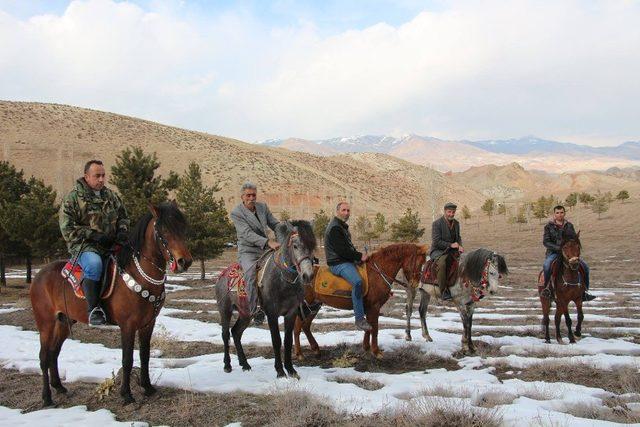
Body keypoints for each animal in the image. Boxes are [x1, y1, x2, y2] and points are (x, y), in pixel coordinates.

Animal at [30, 204, 190, 408]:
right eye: (164, 231)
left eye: (183, 228)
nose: (184, 261)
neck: (139, 274)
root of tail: (39, 276)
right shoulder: (127, 325)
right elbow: (127, 359)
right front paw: (127, 395)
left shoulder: (148, 324)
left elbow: (145, 355)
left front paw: (148, 388)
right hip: (46, 324)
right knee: (43, 357)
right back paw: (47, 398)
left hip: (63, 322)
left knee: (53, 353)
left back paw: (59, 387)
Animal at [215, 222, 316, 380]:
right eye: (295, 246)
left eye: (312, 246)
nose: (308, 275)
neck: (282, 279)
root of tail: (222, 275)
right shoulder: (272, 314)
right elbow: (276, 340)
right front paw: (280, 371)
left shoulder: (291, 313)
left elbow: (287, 341)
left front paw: (291, 370)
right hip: (225, 310)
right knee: (225, 334)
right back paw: (227, 365)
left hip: (245, 314)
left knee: (236, 332)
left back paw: (245, 364)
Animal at [294, 242, 424, 360]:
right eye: (419, 263)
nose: (415, 284)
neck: (377, 273)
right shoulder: (375, 307)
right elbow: (374, 328)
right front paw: (376, 352)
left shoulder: (369, 308)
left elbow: (368, 327)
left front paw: (366, 348)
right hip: (306, 305)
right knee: (297, 327)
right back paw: (299, 354)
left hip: (314, 306)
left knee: (305, 326)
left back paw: (316, 349)